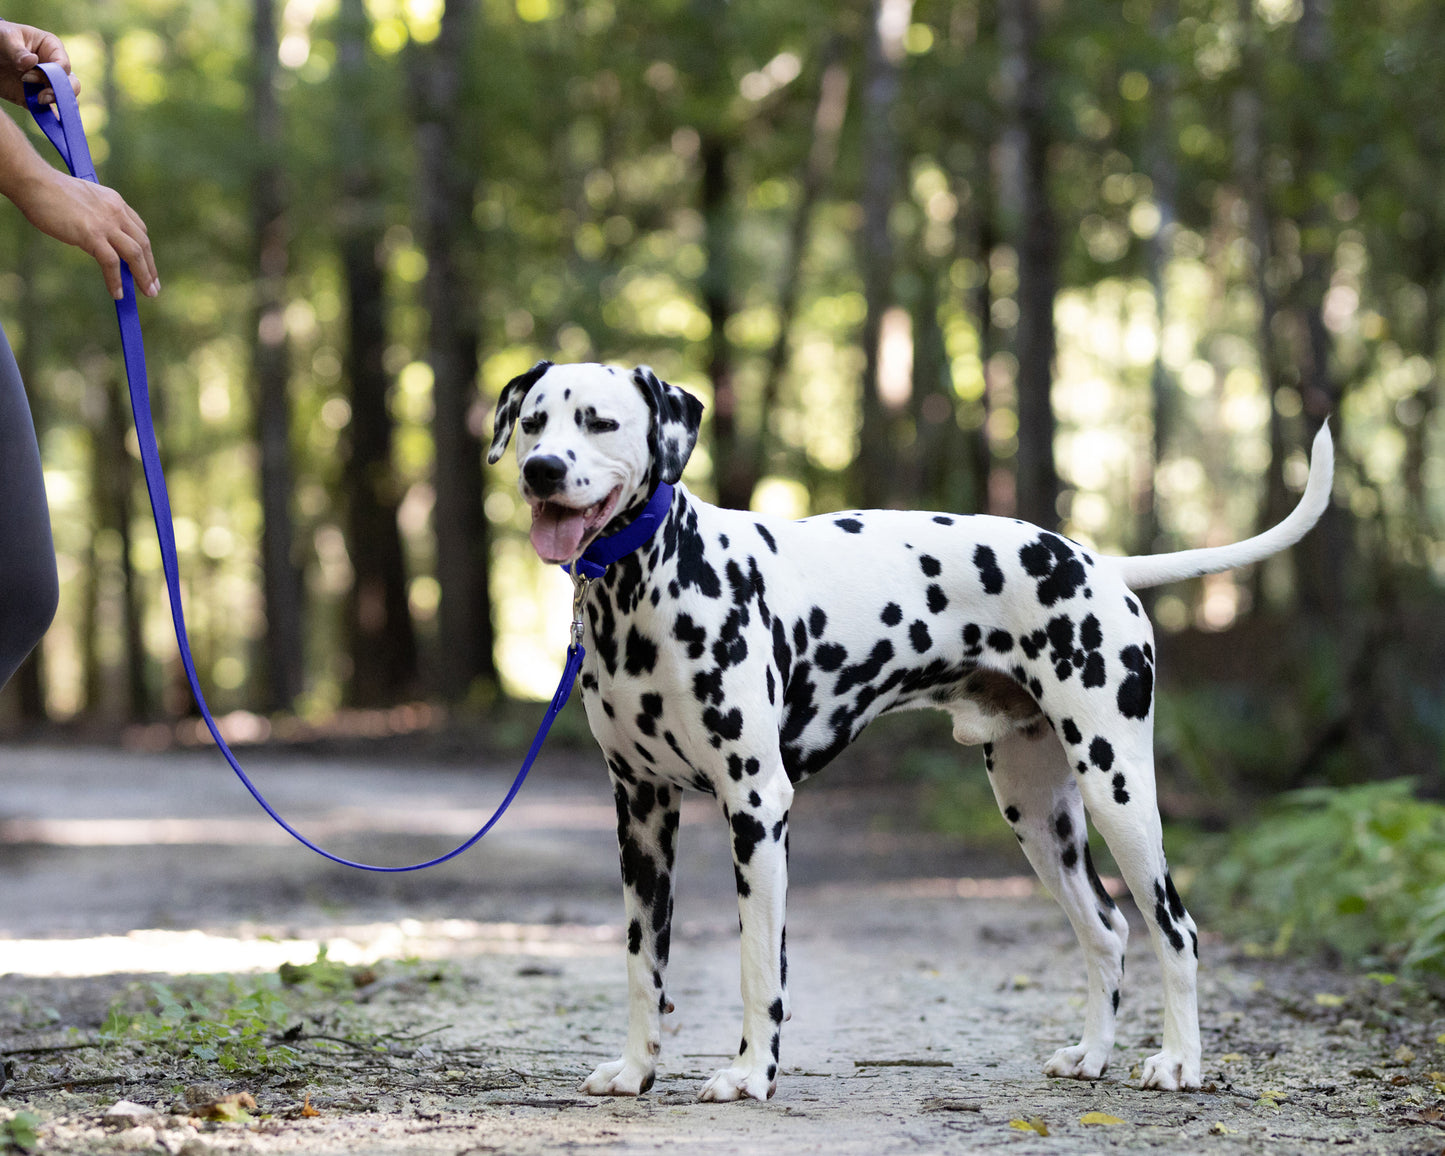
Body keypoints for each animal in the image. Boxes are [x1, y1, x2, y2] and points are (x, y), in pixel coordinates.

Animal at [491, 358, 1335, 1103]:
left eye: (599, 422)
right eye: (532, 421)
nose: (540, 469)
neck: (648, 589)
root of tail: (1100, 564)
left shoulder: (756, 808)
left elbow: (759, 964)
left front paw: (751, 1075)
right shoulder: (640, 813)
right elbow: (643, 964)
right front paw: (635, 1070)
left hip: (1117, 791)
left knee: (1175, 929)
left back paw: (1179, 1063)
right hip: (1038, 816)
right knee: (1106, 930)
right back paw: (1092, 1056)